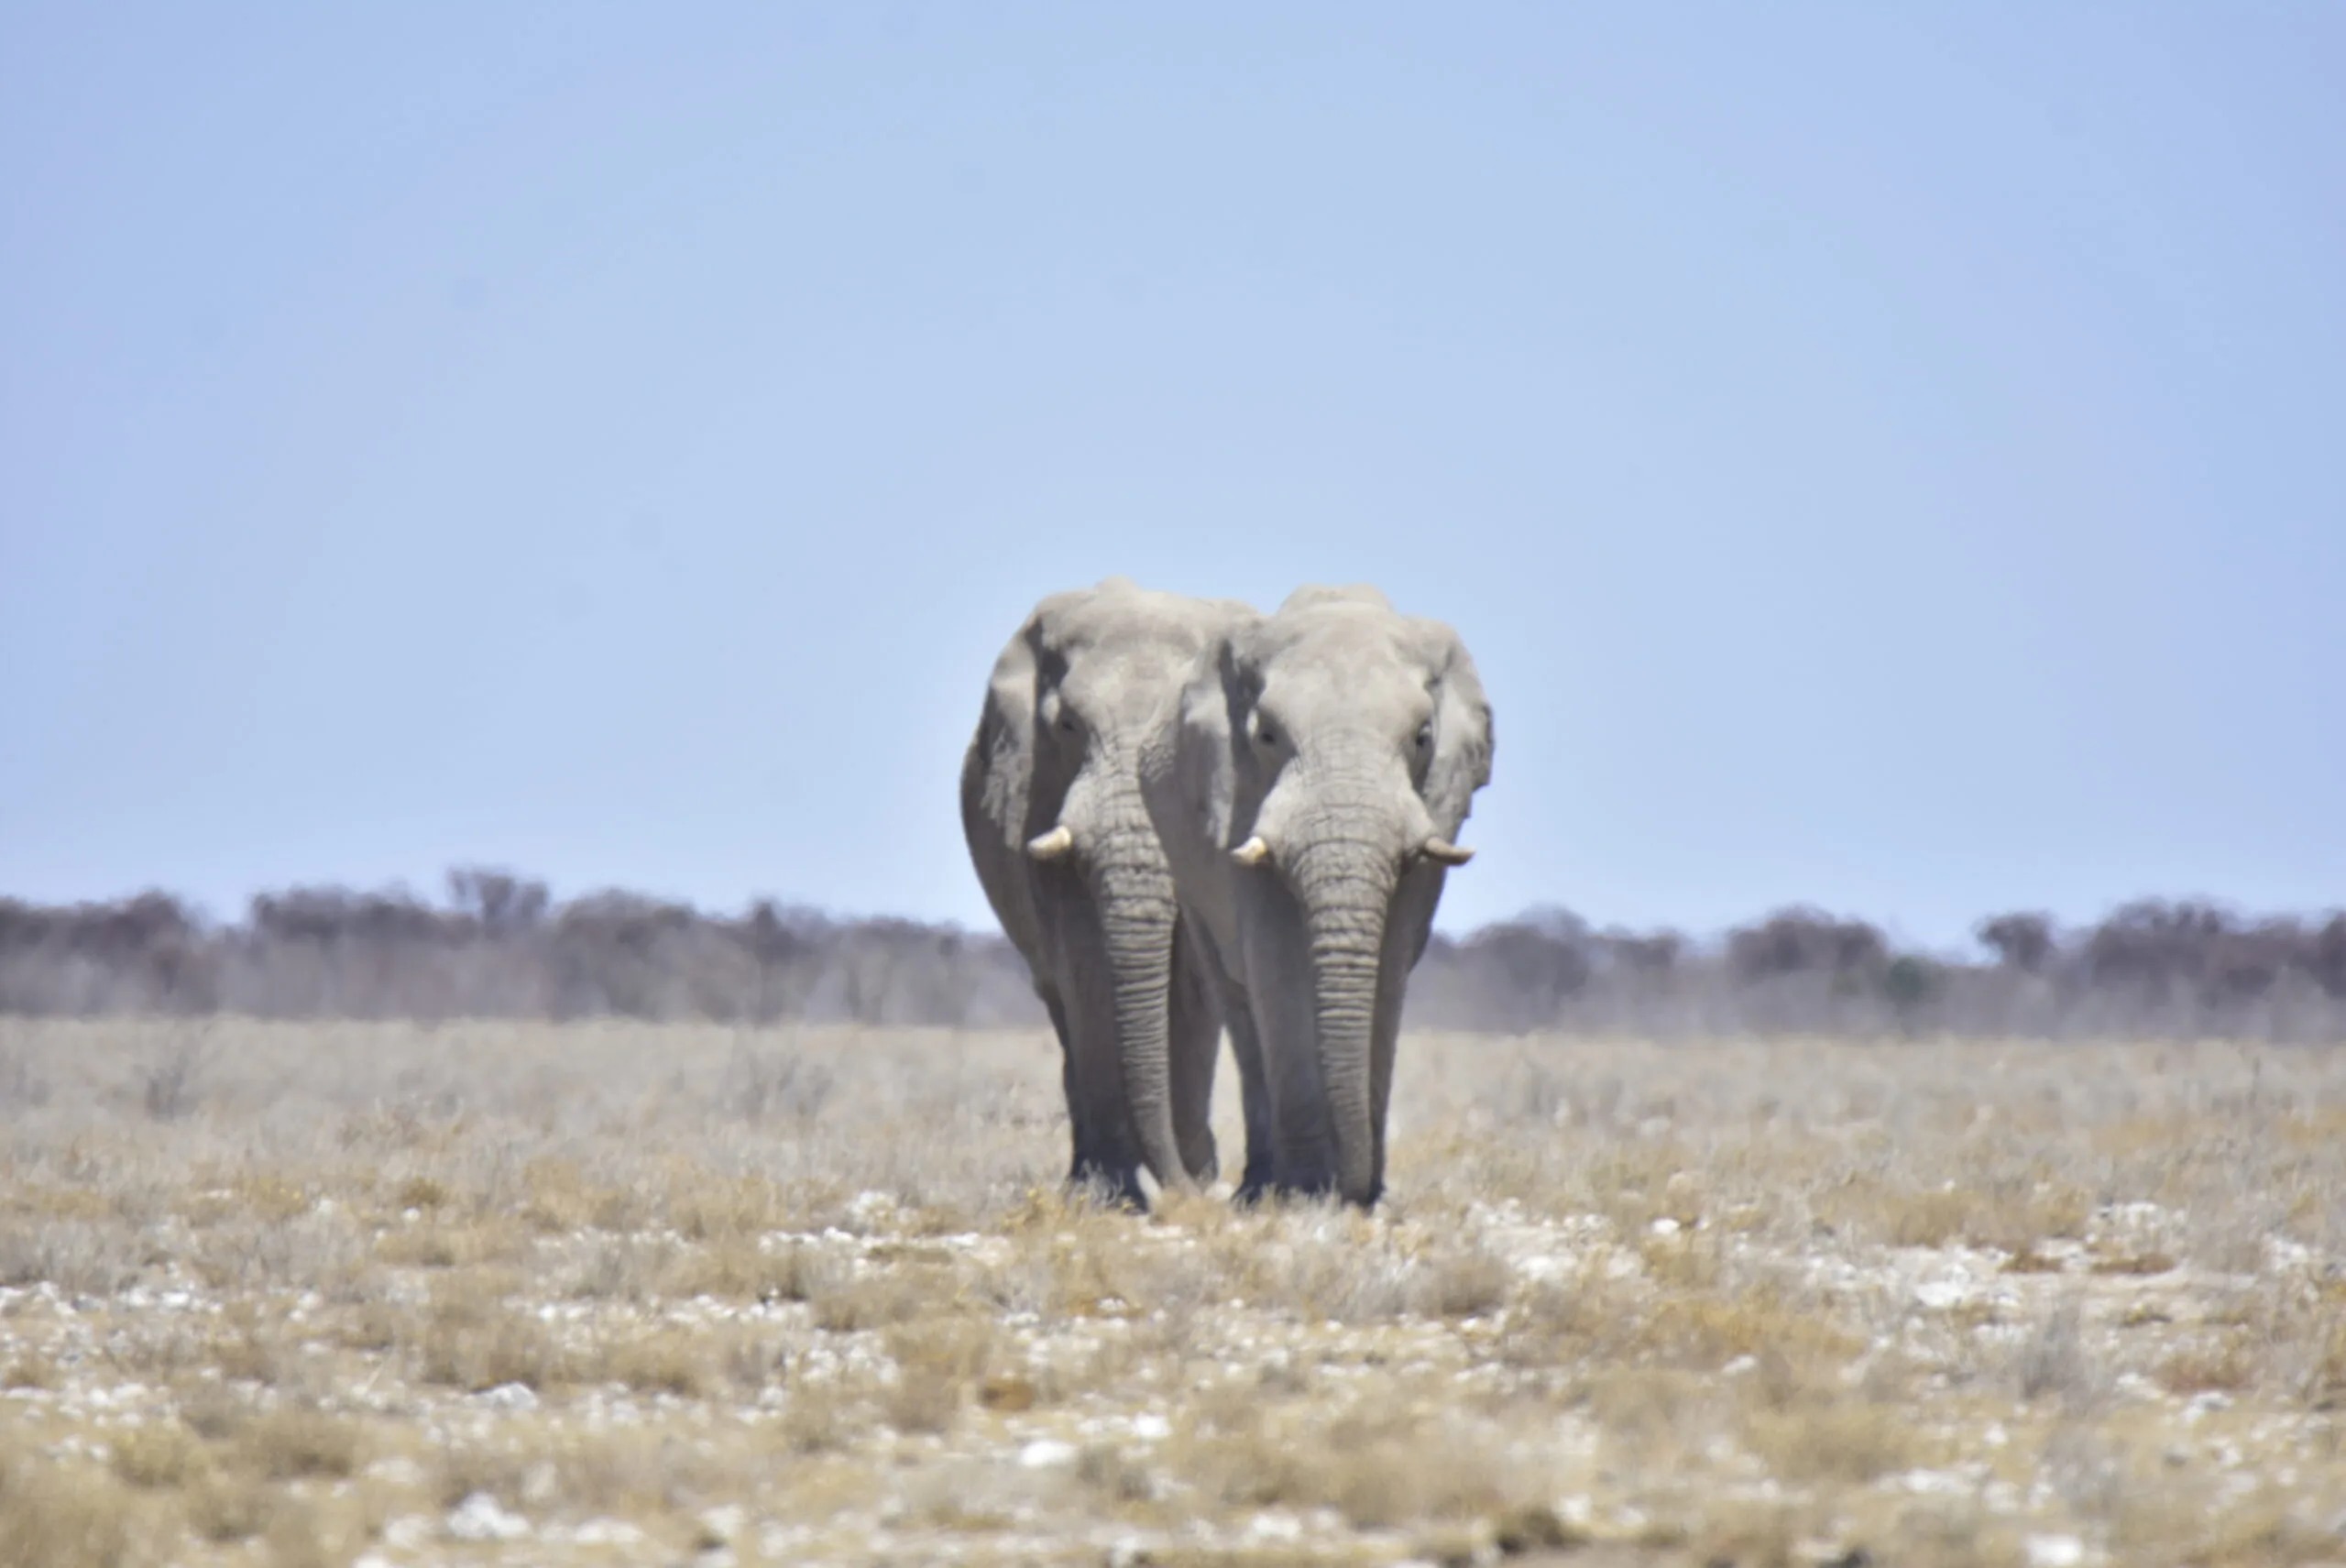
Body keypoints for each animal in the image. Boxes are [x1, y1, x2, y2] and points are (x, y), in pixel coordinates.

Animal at [960, 577, 1252, 1209]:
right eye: (1068, 726)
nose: (1187, 1191)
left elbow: (1193, 980)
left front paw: (1194, 1176)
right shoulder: (1037, 792)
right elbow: (1085, 962)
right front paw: (1112, 1196)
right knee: (1061, 999)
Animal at [1140, 584, 1494, 1209]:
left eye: (1423, 738)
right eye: (1266, 737)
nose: (1354, 1189)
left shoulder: (1433, 813)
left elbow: (1389, 962)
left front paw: (1365, 1196)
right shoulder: (1236, 799)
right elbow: (1275, 962)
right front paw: (1304, 1191)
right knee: (1238, 1000)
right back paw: (1259, 1187)